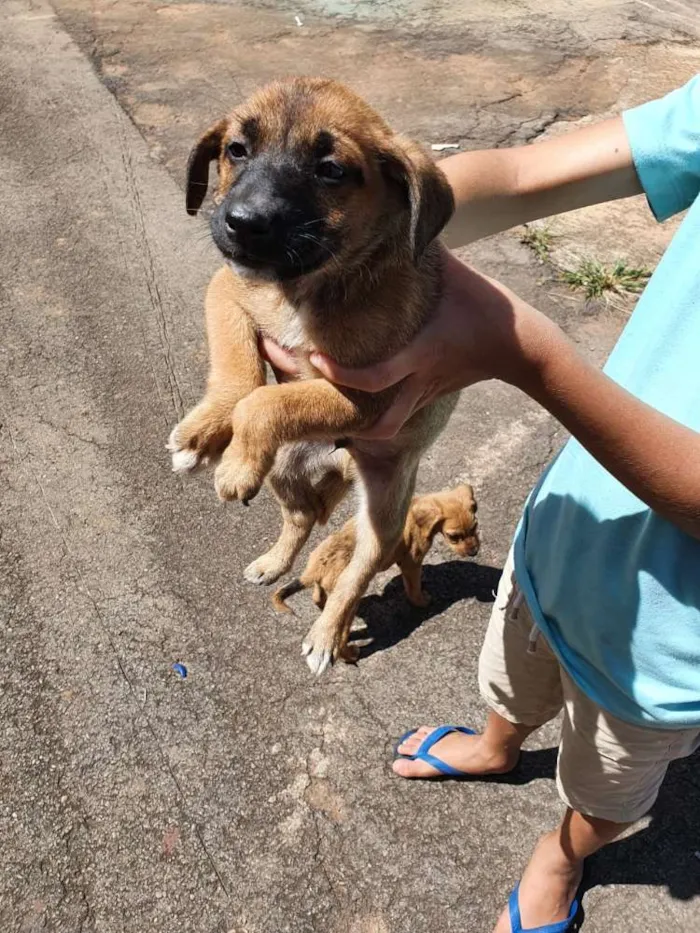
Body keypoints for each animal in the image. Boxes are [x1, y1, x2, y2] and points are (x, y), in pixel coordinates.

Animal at [167, 74, 456, 668]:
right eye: (236, 150)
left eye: (331, 170)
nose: (243, 224)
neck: (307, 289)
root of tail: (340, 465)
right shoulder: (226, 290)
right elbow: (240, 371)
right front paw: (204, 435)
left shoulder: (374, 392)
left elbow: (267, 400)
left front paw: (233, 462)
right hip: (284, 469)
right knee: (299, 520)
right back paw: (272, 563)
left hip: (384, 510)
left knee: (359, 569)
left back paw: (326, 635)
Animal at [274, 484, 482, 624]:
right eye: (454, 537)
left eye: (475, 527)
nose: (474, 552)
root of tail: (314, 569)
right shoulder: (411, 562)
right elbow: (413, 588)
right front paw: (422, 601)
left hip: (322, 578)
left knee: (317, 595)